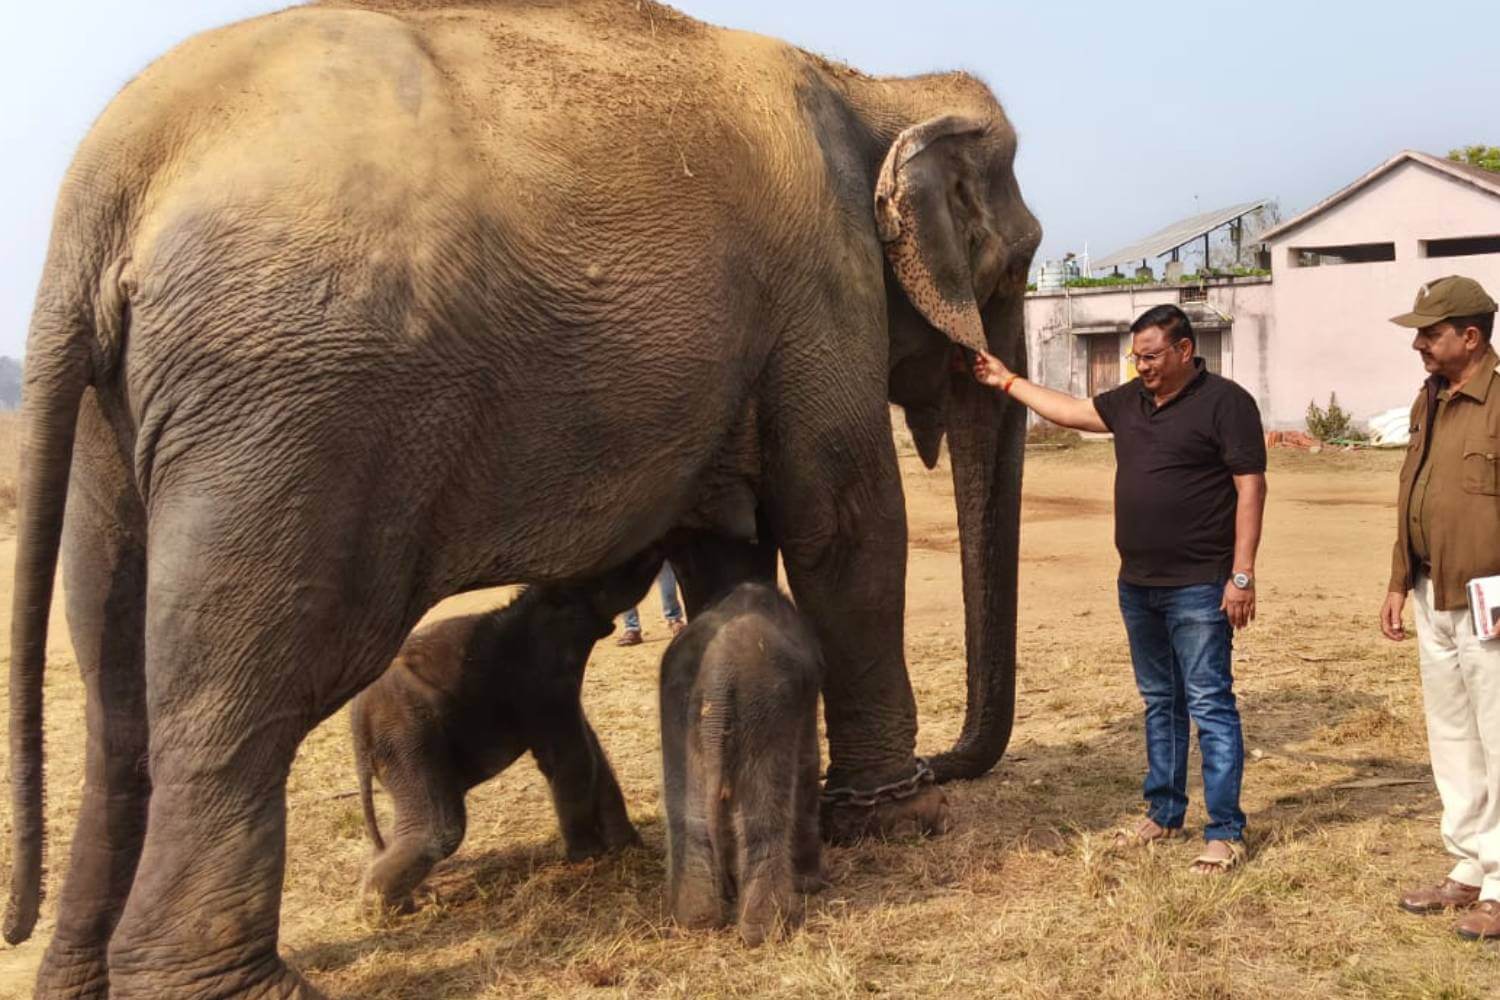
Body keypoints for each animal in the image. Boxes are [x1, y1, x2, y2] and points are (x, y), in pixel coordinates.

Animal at [351, 554, 662, 916]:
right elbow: (571, 757)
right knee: (439, 828)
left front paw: (626, 847)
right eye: (608, 573)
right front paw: (588, 857)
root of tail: (358, 724)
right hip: (408, 735)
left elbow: (592, 749)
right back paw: (382, 911)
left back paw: (410, 900)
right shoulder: (543, 682)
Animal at [659, 582, 823, 947]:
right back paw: (766, 931)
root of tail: (717, 677)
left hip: (679, 709)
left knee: (690, 819)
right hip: (763, 707)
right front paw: (812, 884)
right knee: (762, 816)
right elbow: (807, 766)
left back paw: (696, 923)